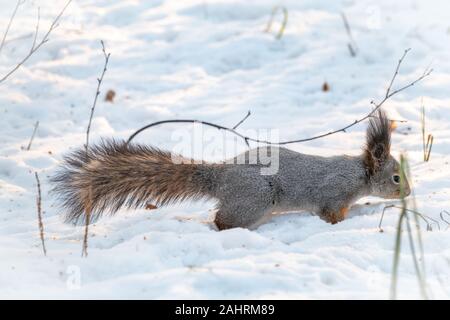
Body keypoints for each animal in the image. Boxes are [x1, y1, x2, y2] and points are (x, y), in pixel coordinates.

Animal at [51, 110, 410, 230]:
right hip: (254, 201)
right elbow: (331, 213)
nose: (408, 192)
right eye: (395, 177)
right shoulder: (332, 194)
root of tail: (220, 176)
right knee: (223, 219)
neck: (359, 174)